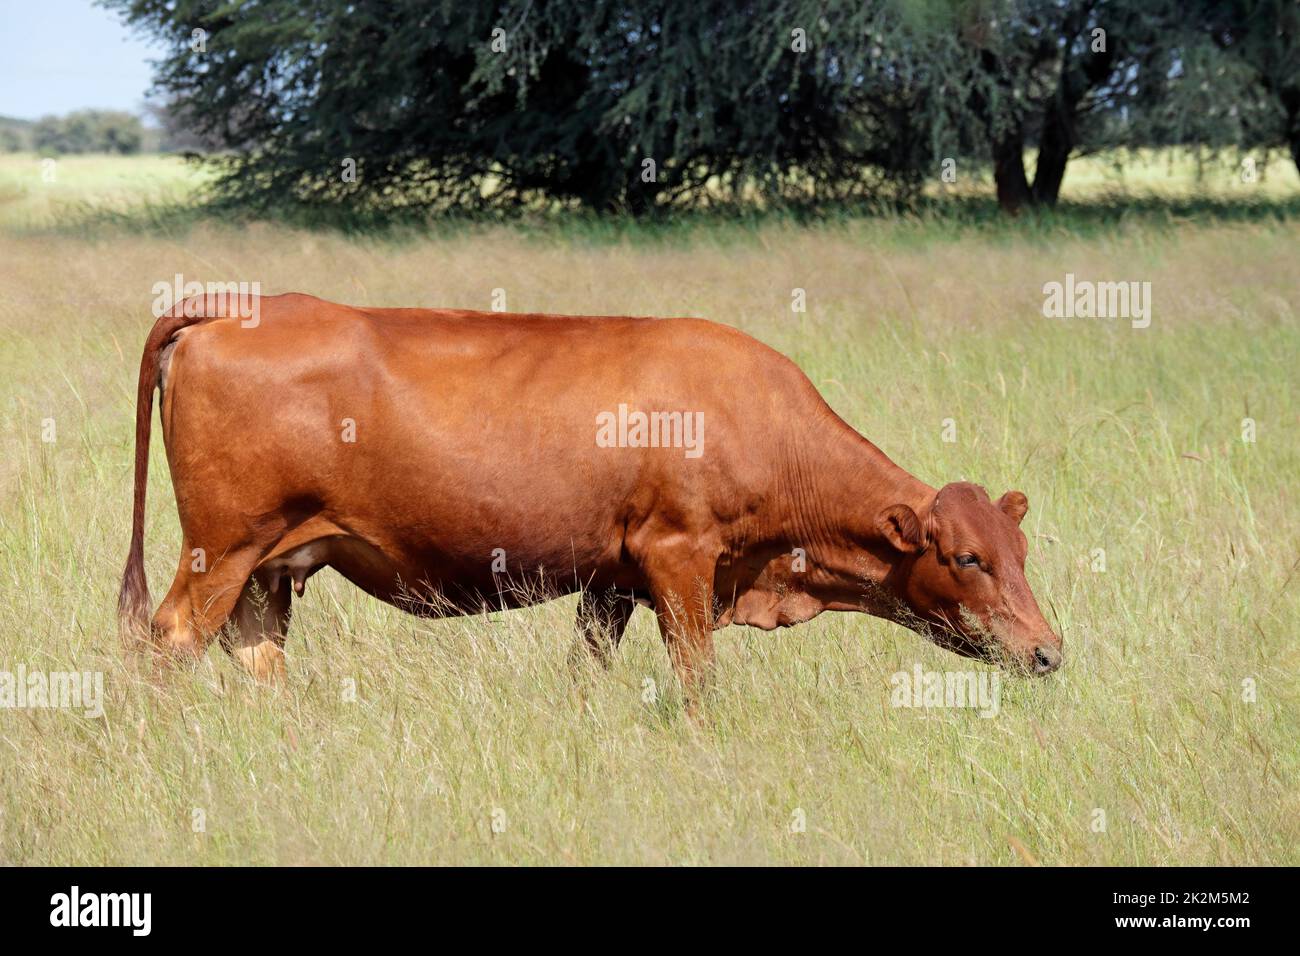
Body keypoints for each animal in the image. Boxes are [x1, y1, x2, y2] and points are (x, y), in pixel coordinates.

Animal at [118, 293, 1062, 705]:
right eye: (968, 558)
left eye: (1020, 552)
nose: (1049, 652)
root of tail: (231, 309)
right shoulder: (680, 558)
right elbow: (697, 677)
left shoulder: (610, 581)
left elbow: (588, 668)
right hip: (222, 548)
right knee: (171, 637)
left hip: (272, 565)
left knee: (253, 650)